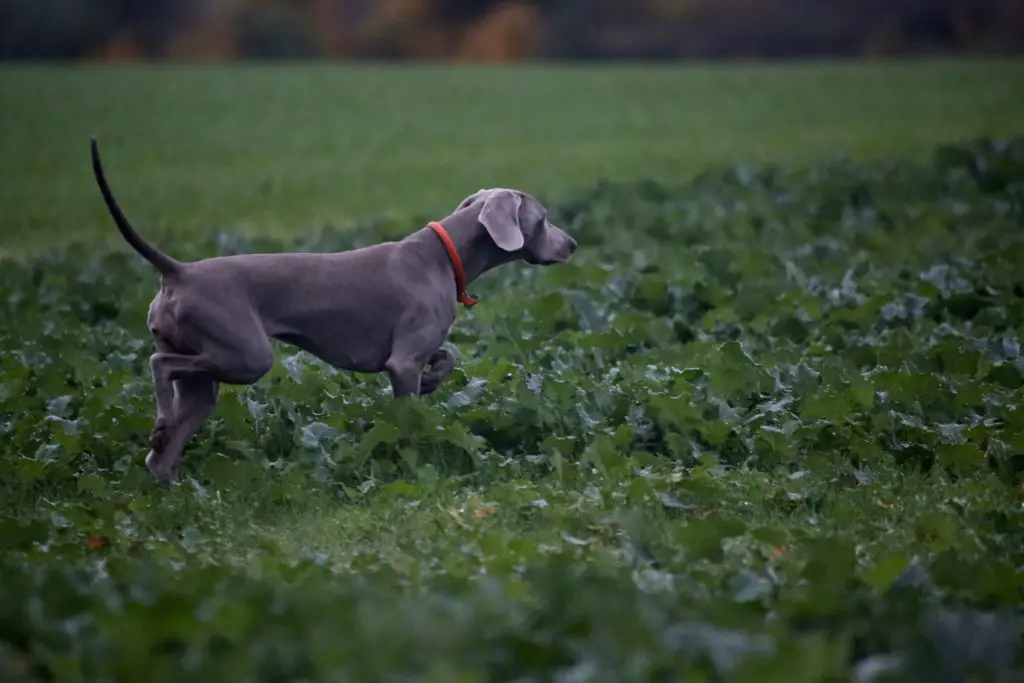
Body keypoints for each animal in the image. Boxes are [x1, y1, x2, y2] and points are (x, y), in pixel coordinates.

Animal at [88, 136, 577, 483]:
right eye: (543, 218)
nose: (573, 244)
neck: (443, 254)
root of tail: (179, 271)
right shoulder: (402, 362)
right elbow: (408, 414)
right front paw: (414, 444)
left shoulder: (413, 351)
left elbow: (449, 356)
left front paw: (435, 378)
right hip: (247, 355)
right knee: (159, 362)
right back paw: (161, 422)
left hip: (205, 380)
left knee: (162, 450)